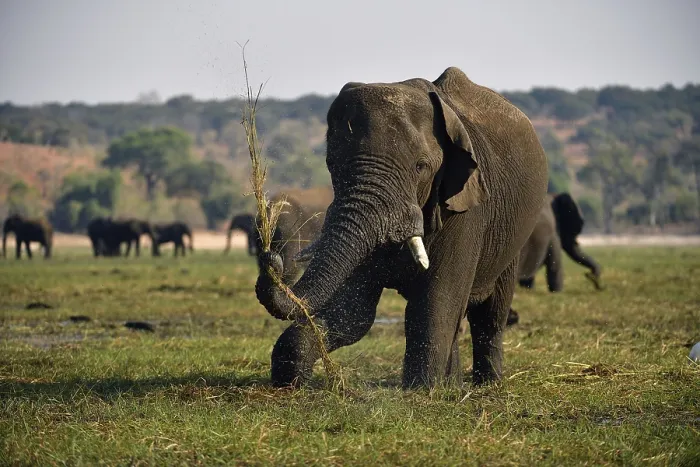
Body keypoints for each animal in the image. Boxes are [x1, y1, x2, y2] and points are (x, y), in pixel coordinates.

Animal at [254, 67, 549, 389]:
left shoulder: (465, 208)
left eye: (421, 167)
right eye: (332, 163)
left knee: (491, 314)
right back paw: (454, 385)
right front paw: (292, 381)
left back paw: (487, 385)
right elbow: (353, 312)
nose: (272, 258)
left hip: (514, 235)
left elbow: (435, 303)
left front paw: (421, 390)